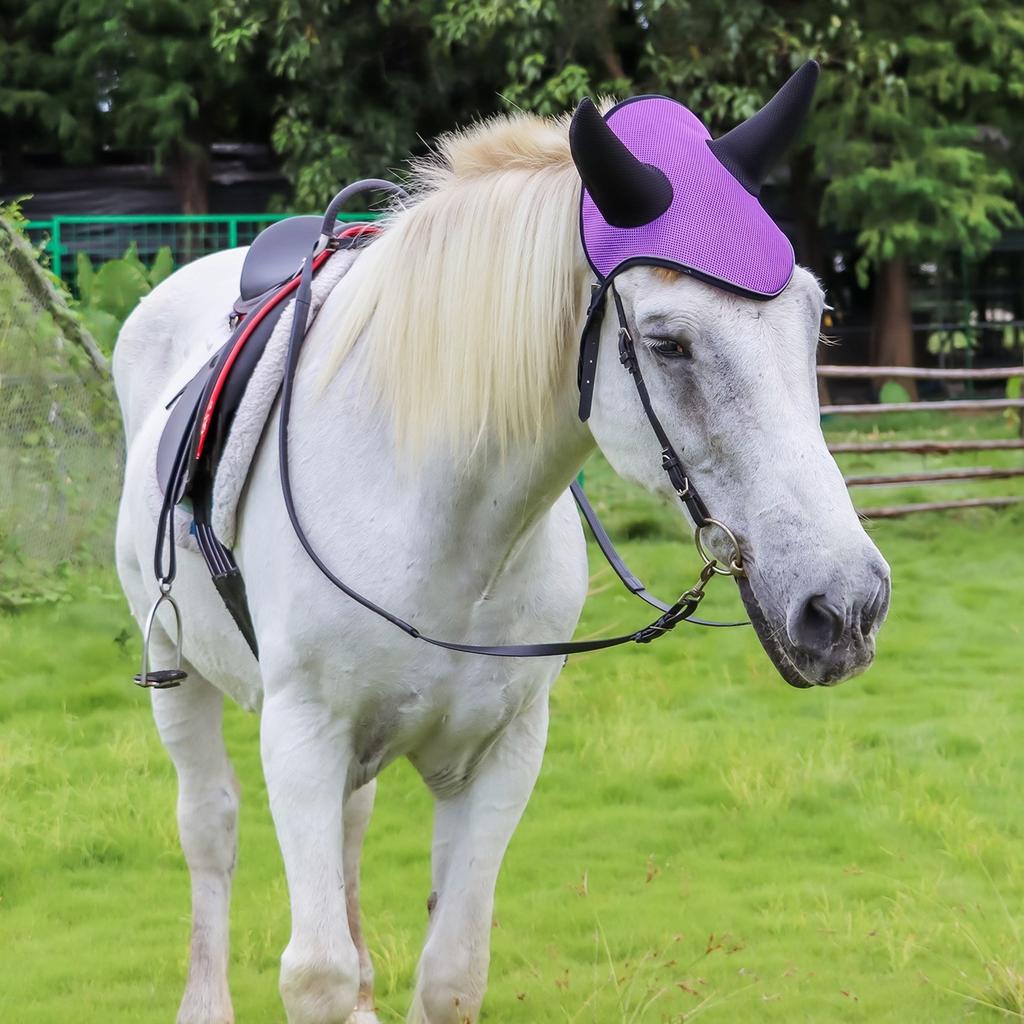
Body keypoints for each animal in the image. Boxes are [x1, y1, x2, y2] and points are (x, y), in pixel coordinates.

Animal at [112, 70, 890, 1024]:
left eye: (818, 321)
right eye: (668, 343)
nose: (845, 605)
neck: (441, 529)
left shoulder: (503, 755)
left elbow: (452, 973)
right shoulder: (301, 737)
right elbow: (315, 972)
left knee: (349, 828)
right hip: (173, 663)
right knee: (210, 828)